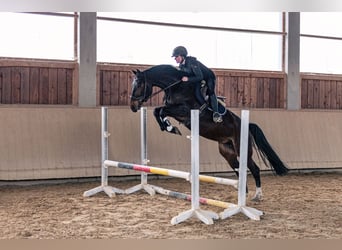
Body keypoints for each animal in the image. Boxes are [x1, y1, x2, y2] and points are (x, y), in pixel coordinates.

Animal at [130, 64, 288, 201]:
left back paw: (258, 195)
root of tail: (247, 125)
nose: (133, 107)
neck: (177, 87)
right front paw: (168, 126)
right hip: (227, 152)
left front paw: (170, 127)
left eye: (139, 84)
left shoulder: (184, 111)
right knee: (238, 169)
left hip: (242, 150)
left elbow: (161, 110)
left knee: (254, 169)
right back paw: (244, 193)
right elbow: (158, 111)